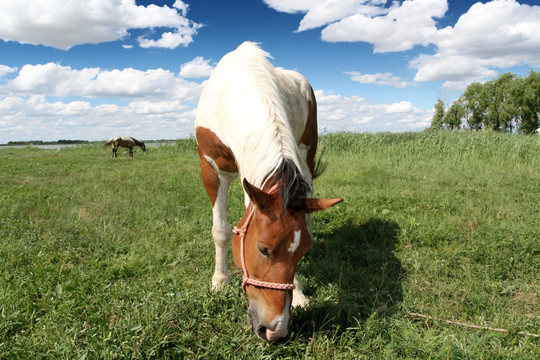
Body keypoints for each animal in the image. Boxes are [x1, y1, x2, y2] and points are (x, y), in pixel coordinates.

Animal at [194, 41, 342, 340]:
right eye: (263, 249)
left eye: (303, 251)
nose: (276, 329)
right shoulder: (212, 170)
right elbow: (221, 231)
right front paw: (219, 281)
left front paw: (299, 294)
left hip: (307, 156)